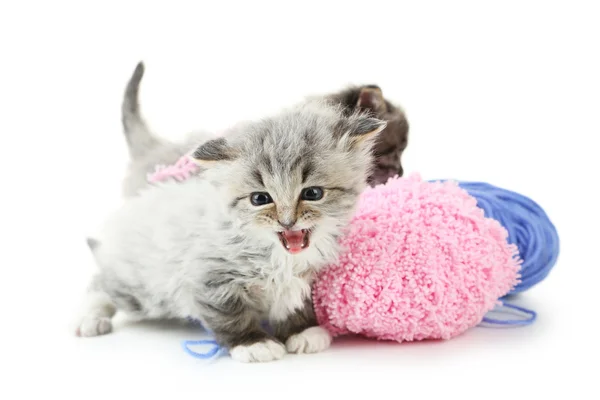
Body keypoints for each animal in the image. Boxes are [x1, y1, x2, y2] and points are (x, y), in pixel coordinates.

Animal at [76, 62, 384, 362]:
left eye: (313, 194)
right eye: (260, 199)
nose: (287, 222)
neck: (280, 258)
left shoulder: (305, 279)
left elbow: (294, 304)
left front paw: (302, 330)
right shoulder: (209, 278)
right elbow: (230, 315)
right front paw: (254, 343)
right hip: (142, 288)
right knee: (101, 282)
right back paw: (89, 319)